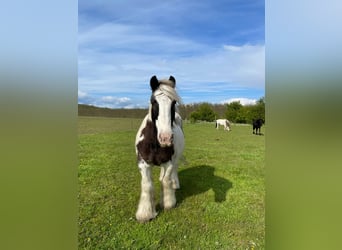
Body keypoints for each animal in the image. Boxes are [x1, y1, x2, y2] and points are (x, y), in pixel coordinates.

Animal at [136, 74, 186, 223]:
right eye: (154, 101)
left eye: (173, 103)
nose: (166, 138)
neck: (154, 143)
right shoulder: (143, 163)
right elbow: (147, 185)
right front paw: (145, 214)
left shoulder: (168, 162)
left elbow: (166, 180)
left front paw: (168, 203)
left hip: (175, 158)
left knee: (173, 170)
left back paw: (175, 184)